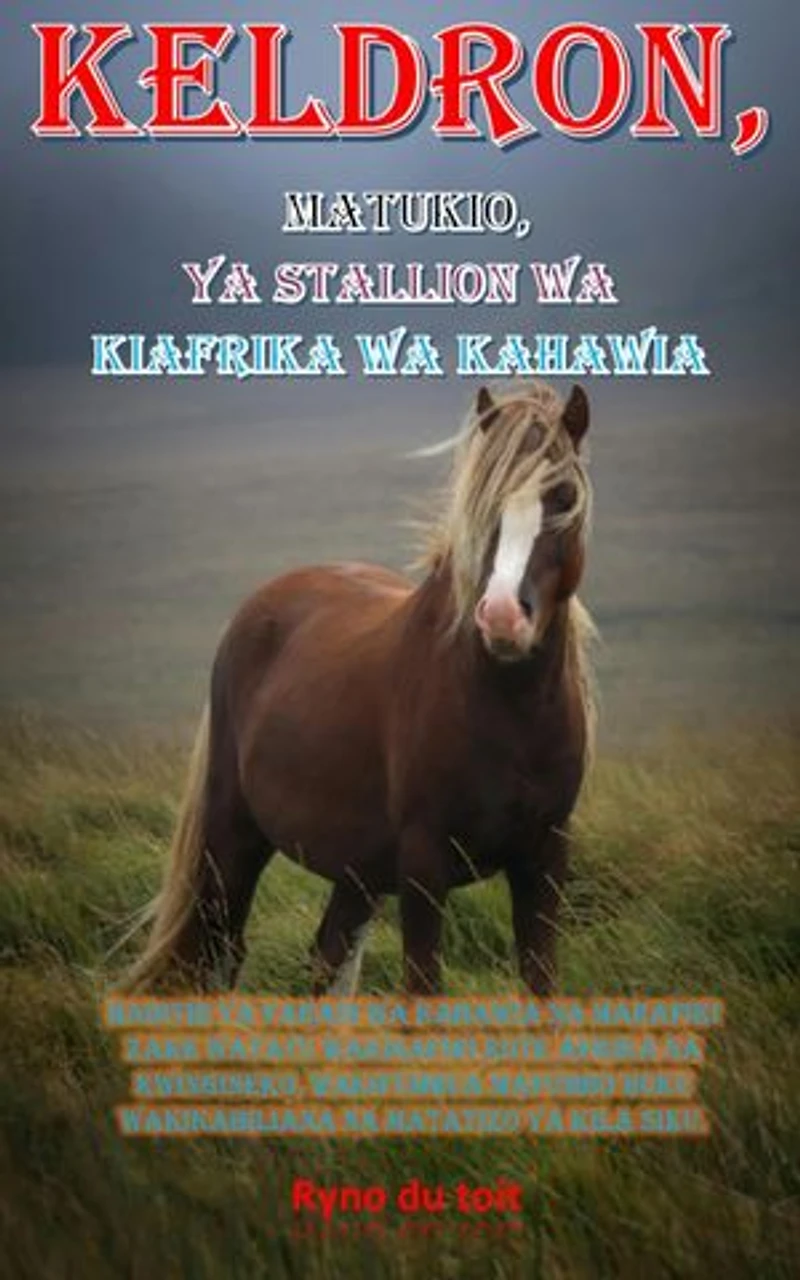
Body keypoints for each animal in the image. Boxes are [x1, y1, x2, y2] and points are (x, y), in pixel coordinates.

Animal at [123, 379, 596, 997]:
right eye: (484, 502)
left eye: (562, 496)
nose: (501, 618)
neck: (508, 713)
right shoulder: (423, 863)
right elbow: (422, 992)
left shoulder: (545, 858)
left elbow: (541, 986)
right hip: (233, 838)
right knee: (220, 954)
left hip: (358, 869)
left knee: (328, 959)